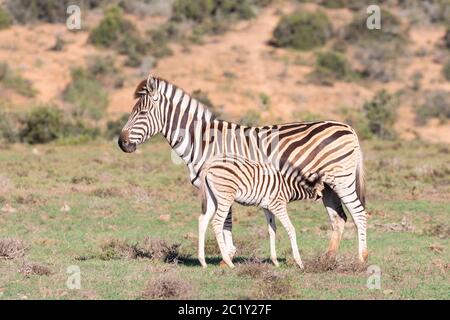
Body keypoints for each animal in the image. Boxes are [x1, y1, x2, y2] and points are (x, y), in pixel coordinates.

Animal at [119, 74, 370, 264]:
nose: (121, 143)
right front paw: (227, 255)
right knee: (339, 218)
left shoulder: (226, 182)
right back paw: (327, 259)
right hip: (327, 186)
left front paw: (227, 257)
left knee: (358, 213)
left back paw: (362, 257)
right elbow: (223, 220)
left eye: (141, 113)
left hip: (342, 179)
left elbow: (226, 220)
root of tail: (348, 127)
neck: (203, 142)